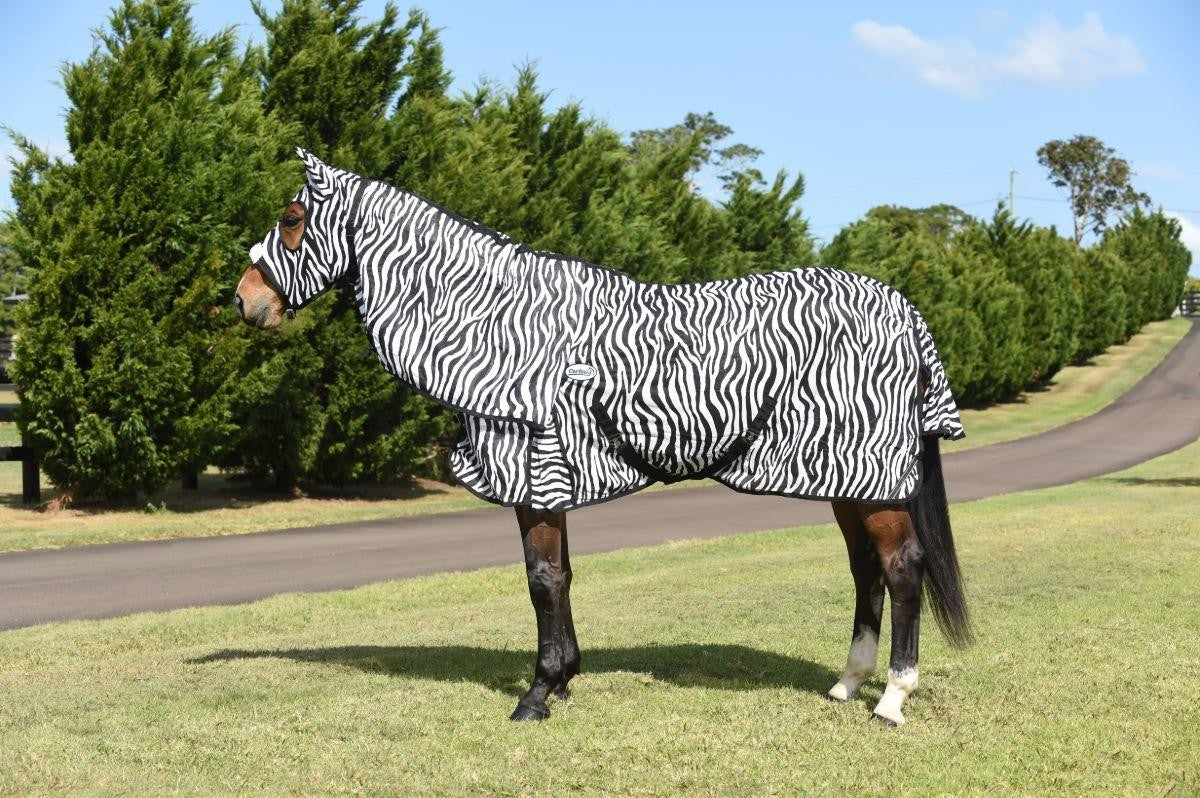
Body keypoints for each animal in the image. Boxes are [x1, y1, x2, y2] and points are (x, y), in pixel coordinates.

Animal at [235, 149, 971, 726]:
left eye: (293, 220)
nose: (245, 300)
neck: (502, 324)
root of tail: (904, 309)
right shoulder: (547, 477)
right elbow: (560, 575)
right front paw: (563, 678)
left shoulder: (531, 468)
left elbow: (540, 579)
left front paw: (536, 694)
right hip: (847, 478)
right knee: (866, 569)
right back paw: (848, 682)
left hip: (871, 479)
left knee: (902, 566)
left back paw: (892, 698)